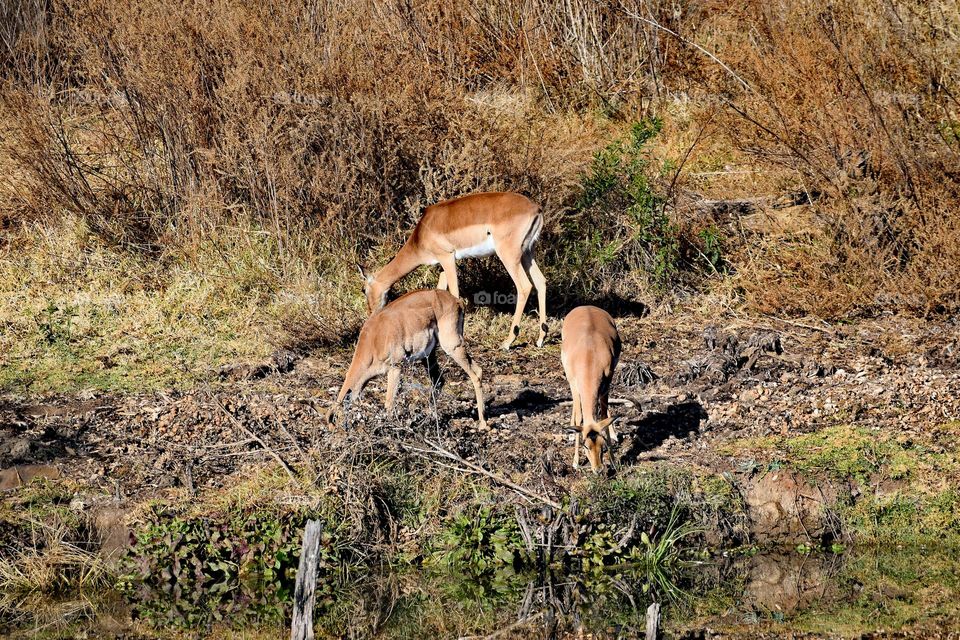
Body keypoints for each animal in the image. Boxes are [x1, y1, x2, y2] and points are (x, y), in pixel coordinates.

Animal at [325, 289, 487, 429]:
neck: (374, 338)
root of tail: (456, 301)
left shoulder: (395, 368)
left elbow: (389, 403)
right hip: (429, 356)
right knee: (440, 381)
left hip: (452, 346)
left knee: (476, 373)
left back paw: (483, 424)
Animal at [358, 192, 548, 351]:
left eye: (364, 290)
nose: (370, 316)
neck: (421, 233)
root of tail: (535, 208)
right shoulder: (443, 266)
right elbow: (439, 292)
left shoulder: (447, 258)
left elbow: (455, 294)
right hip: (528, 253)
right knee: (541, 282)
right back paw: (541, 338)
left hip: (509, 255)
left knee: (524, 286)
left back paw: (508, 342)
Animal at [561, 306, 622, 472]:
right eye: (586, 446)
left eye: (602, 445)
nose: (598, 469)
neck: (589, 355)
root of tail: (587, 306)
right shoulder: (575, 386)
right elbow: (579, 418)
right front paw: (575, 462)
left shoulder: (606, 385)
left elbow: (603, 416)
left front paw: (614, 461)